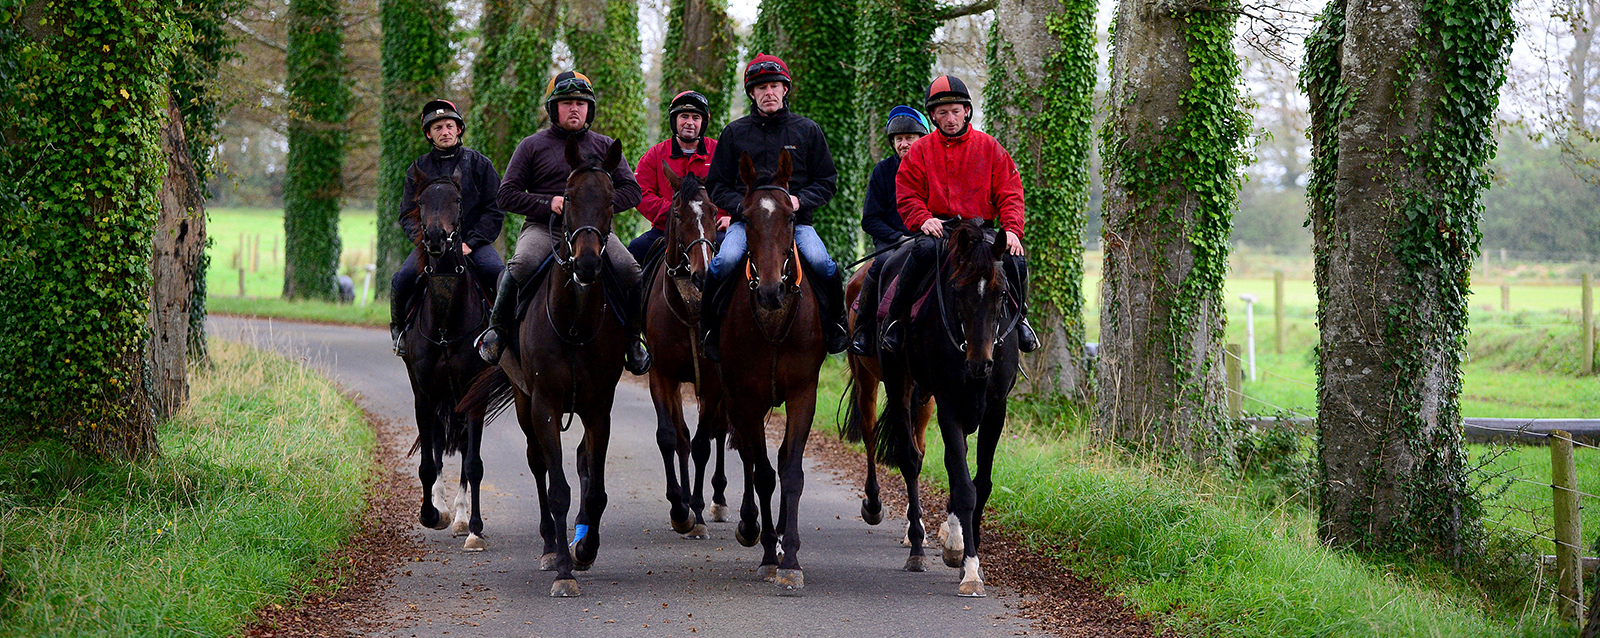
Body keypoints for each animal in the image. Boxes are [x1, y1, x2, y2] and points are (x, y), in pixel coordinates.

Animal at [460, 135, 627, 601]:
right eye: (567, 197)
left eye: (611, 199)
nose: (587, 264)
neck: (574, 322)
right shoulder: (545, 404)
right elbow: (557, 490)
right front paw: (564, 569)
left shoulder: (598, 407)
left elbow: (596, 489)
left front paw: (585, 550)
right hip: (523, 402)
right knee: (537, 465)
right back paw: (551, 547)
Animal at [720, 152, 832, 598]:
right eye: (746, 216)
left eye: (790, 216)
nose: (770, 290)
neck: (772, 321)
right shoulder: (747, 398)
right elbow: (765, 474)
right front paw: (770, 555)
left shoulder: (804, 393)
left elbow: (791, 472)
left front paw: (791, 558)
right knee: (751, 459)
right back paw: (754, 528)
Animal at [876, 220, 1024, 601]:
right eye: (958, 291)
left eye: (1002, 293)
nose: (979, 365)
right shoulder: (948, 407)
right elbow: (965, 488)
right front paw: (970, 569)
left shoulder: (994, 410)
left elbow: (979, 483)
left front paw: (968, 555)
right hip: (900, 385)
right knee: (911, 460)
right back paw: (917, 548)